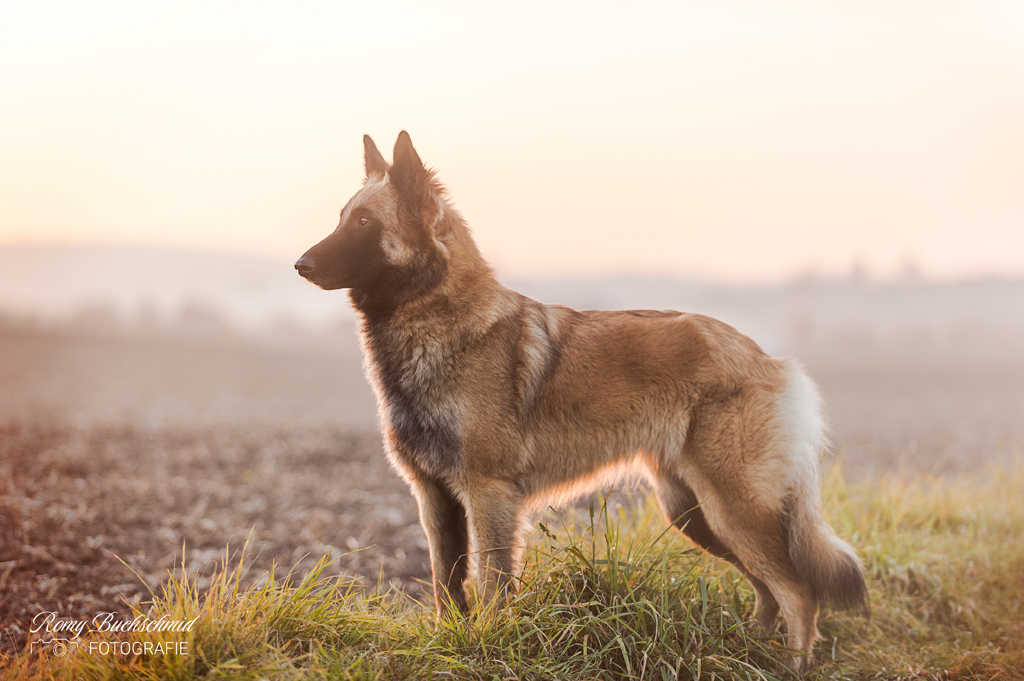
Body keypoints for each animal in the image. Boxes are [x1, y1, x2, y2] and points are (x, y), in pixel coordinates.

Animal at [296, 133, 864, 667]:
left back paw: (788, 663)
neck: (438, 319)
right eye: (343, 217)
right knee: (768, 589)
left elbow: (493, 585)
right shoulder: (434, 498)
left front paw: (489, 645)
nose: (300, 264)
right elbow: (445, 585)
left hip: (733, 508)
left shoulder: (487, 495)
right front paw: (447, 643)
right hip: (695, 512)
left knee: (798, 592)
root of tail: (769, 359)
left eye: (364, 221)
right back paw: (750, 652)